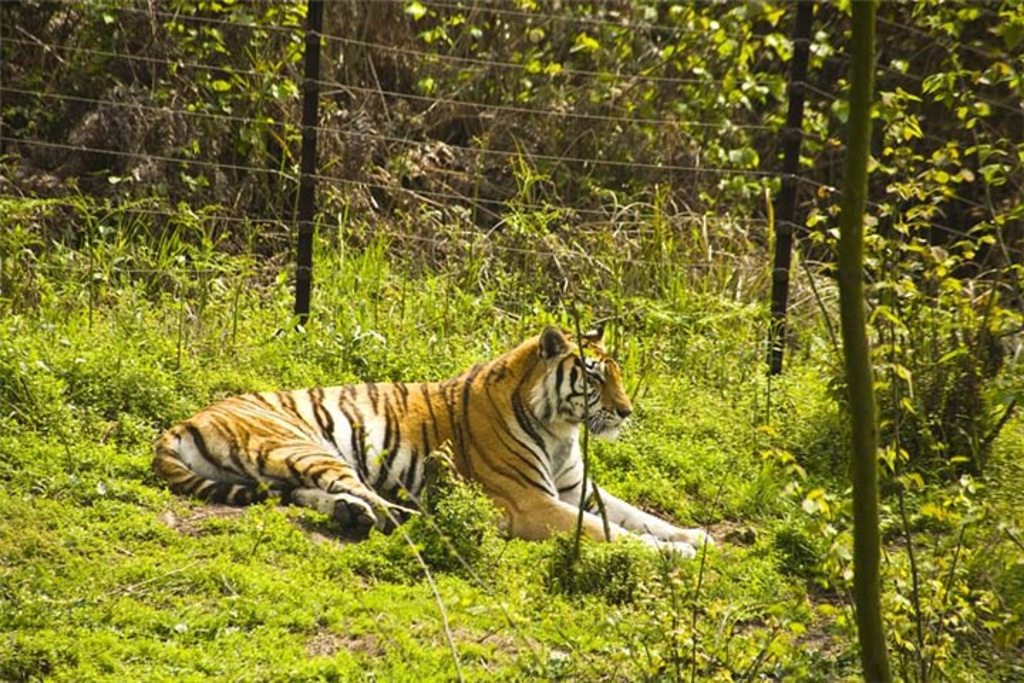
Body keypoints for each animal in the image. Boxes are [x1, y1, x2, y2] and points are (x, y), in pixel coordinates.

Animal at [153, 325, 712, 557]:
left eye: (618, 373)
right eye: (594, 377)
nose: (626, 412)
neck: (560, 428)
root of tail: (182, 422)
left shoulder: (575, 487)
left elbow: (637, 514)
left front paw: (696, 538)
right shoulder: (529, 502)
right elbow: (604, 530)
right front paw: (673, 554)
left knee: (310, 494)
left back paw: (351, 515)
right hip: (305, 444)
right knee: (374, 501)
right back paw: (417, 517)